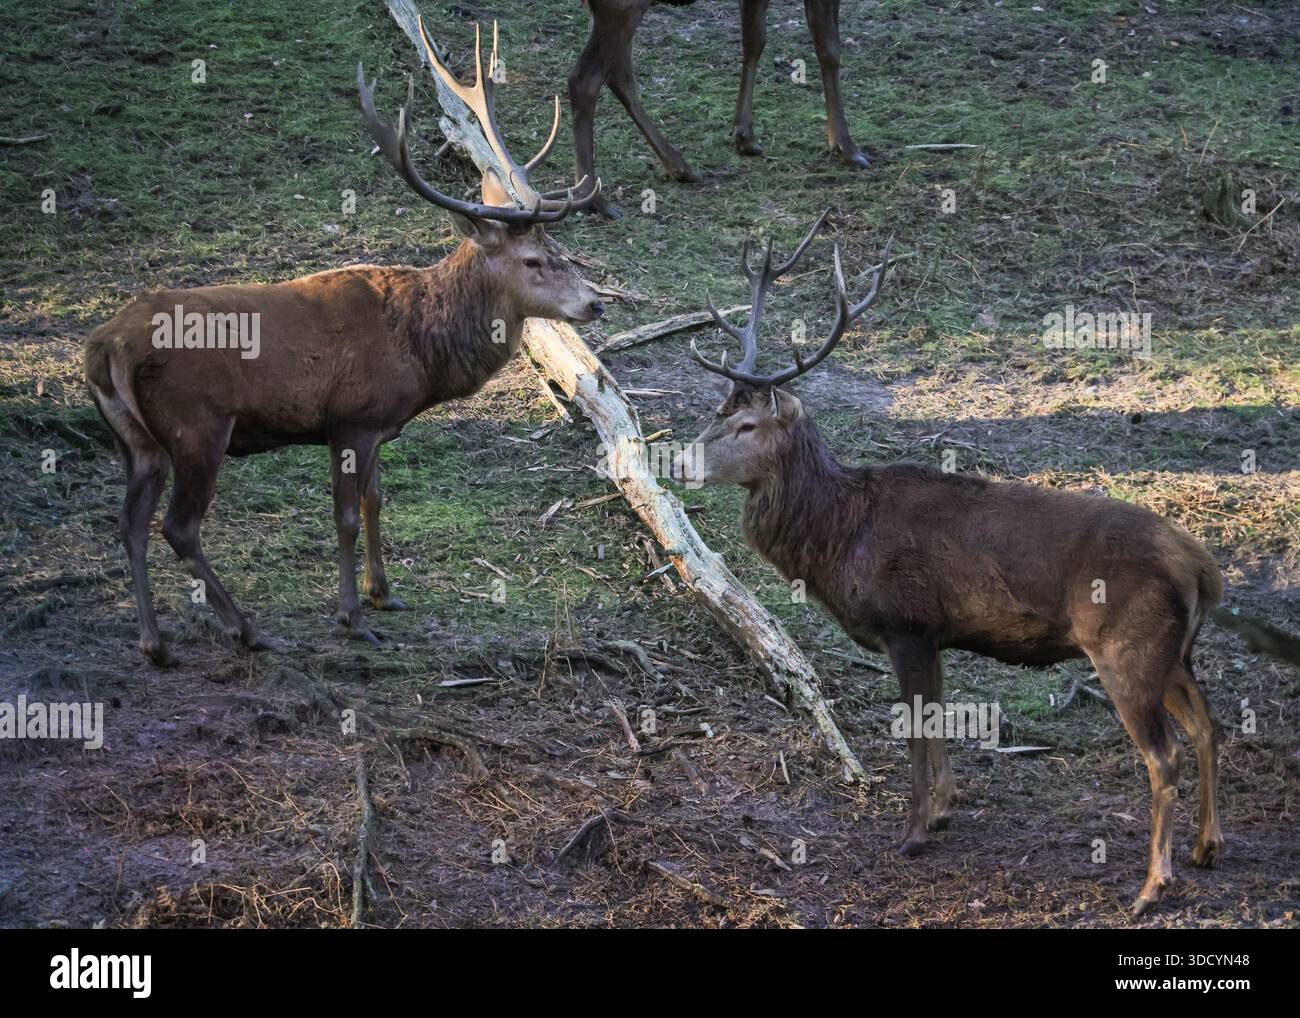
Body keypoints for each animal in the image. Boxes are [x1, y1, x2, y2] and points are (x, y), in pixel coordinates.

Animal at [84, 18, 603, 666]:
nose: (596, 302)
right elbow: (346, 516)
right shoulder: (349, 418)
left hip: (136, 439)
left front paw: (385, 594)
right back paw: (248, 629)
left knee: (129, 521)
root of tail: (103, 348)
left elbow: (377, 500)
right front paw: (352, 618)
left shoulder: (379, 424)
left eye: (559, 251)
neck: (421, 350)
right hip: (197, 425)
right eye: (533, 260)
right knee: (178, 527)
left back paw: (154, 642)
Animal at [569, 0, 869, 218]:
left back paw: (680, 166)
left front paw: (744, 135)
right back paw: (594, 199)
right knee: (586, 80)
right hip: (621, 6)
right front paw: (846, 146)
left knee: (619, 74)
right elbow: (829, 48)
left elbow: (754, 40)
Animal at [670, 211, 1234, 916]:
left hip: (1127, 646)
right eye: (716, 412)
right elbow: (937, 721)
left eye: (746, 426)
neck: (840, 537)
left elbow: (915, 728)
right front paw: (941, 812)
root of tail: (1204, 567)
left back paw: (1153, 885)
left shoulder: (905, 623)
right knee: (1210, 726)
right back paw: (1206, 847)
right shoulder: (932, 634)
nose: (678, 461)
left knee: (1165, 754)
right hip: (1175, 650)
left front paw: (913, 832)